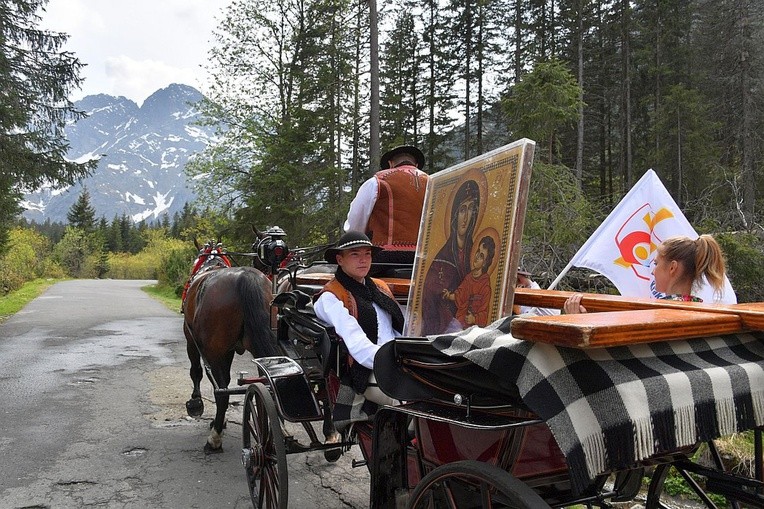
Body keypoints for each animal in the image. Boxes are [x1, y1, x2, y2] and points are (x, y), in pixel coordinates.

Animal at [183, 264, 280, 450]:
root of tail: (245, 277)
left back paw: (214, 439)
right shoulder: (228, 352)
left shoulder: (192, 341)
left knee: (222, 394)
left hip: (213, 352)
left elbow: (196, 372)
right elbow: (227, 380)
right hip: (260, 350)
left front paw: (196, 402)